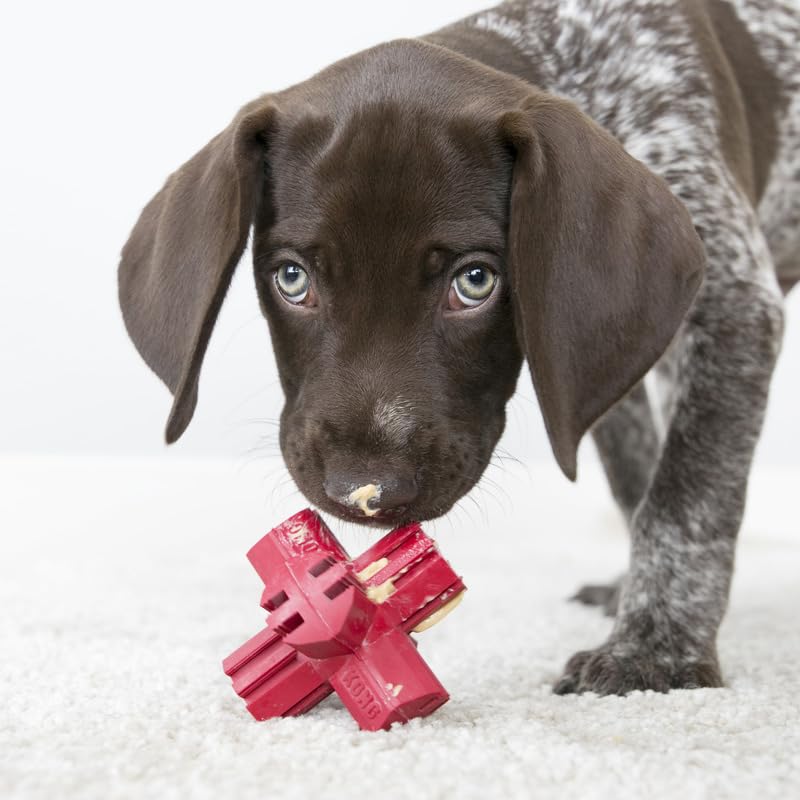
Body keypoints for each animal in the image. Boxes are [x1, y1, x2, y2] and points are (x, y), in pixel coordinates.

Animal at [119, 0, 800, 692]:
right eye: (292, 278)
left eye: (474, 281)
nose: (367, 490)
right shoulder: (595, 354)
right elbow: (636, 472)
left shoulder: (734, 308)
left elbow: (686, 493)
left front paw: (656, 650)